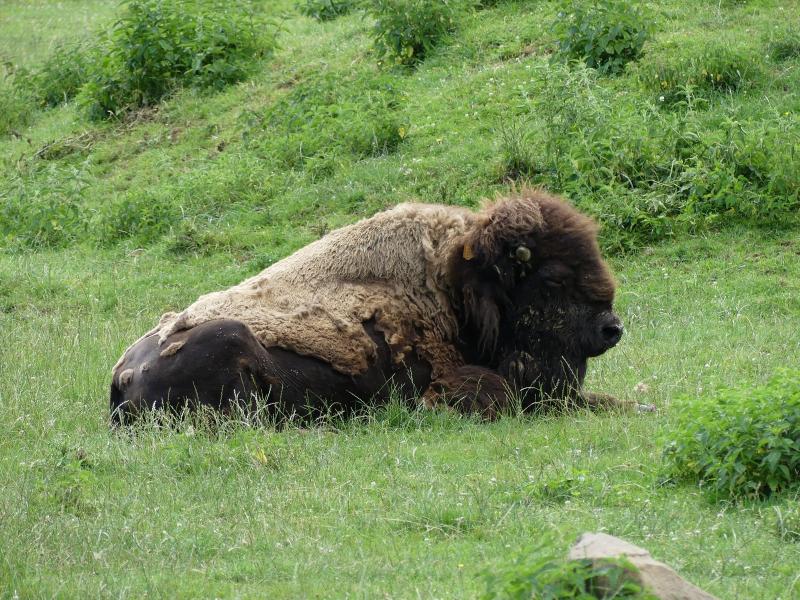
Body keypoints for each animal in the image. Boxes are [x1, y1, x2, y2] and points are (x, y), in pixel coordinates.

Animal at [110, 190, 627, 425]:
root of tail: (123, 374)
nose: (612, 328)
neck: (452, 290)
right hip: (232, 340)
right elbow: (496, 395)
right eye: (554, 277)